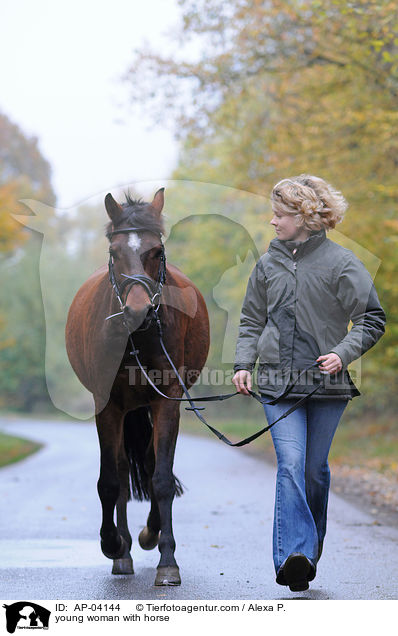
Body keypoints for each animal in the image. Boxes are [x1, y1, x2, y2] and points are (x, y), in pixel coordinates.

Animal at [64, 190, 211, 588]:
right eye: (114, 252)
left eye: (156, 252)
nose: (138, 310)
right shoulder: (106, 405)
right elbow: (110, 481)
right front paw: (113, 544)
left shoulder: (168, 401)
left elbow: (161, 477)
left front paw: (166, 559)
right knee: (121, 470)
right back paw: (124, 550)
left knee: (148, 463)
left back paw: (148, 535)